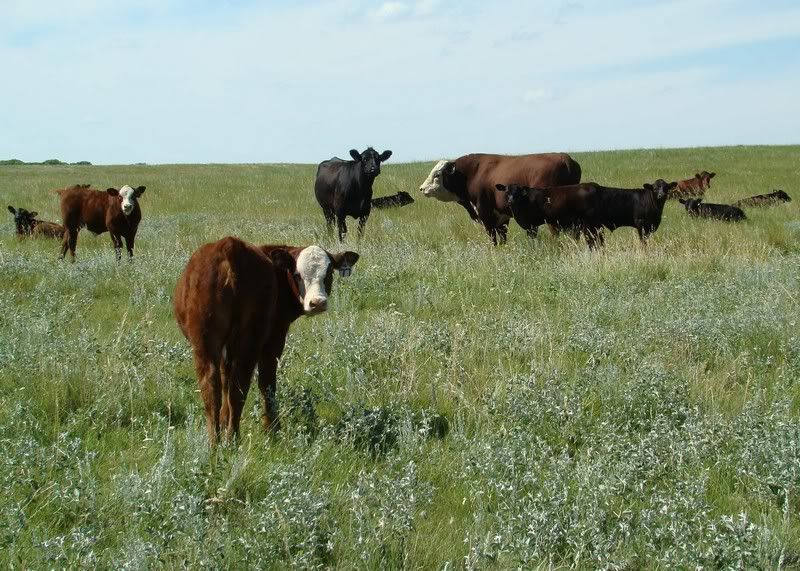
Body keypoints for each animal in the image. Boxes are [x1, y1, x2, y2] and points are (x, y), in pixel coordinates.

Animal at [173, 236, 360, 445]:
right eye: (297, 274)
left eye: (329, 272)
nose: (317, 302)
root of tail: (230, 247)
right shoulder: (275, 336)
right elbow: (267, 383)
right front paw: (272, 430)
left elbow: (225, 379)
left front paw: (224, 420)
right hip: (250, 340)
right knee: (241, 385)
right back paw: (234, 438)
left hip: (205, 343)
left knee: (212, 387)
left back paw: (216, 442)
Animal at [418, 153, 582, 244]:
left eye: (437, 174)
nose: (422, 188)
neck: (470, 174)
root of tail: (565, 158)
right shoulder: (502, 216)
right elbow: (502, 236)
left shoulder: (485, 214)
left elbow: (493, 238)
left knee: (555, 232)